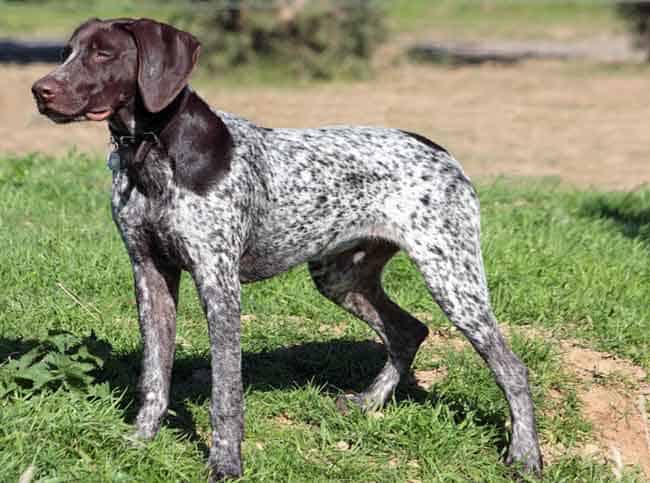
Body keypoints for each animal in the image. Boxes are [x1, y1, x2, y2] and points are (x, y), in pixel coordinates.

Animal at [33, 17, 540, 482]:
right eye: (67, 51)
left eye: (104, 54)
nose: (40, 91)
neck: (152, 153)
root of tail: (441, 152)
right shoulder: (149, 274)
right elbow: (154, 376)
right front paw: (140, 441)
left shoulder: (219, 284)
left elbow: (225, 393)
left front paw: (225, 463)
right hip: (340, 277)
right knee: (408, 331)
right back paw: (368, 403)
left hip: (452, 277)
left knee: (511, 367)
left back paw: (525, 455)